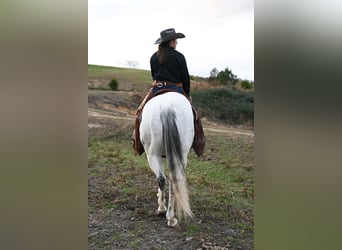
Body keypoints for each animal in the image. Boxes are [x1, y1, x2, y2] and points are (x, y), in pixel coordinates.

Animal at [138, 91, 192, 227]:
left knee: (161, 178)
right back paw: (170, 217)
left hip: (152, 155)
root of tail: (167, 108)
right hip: (180, 156)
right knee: (171, 181)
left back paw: (163, 210)